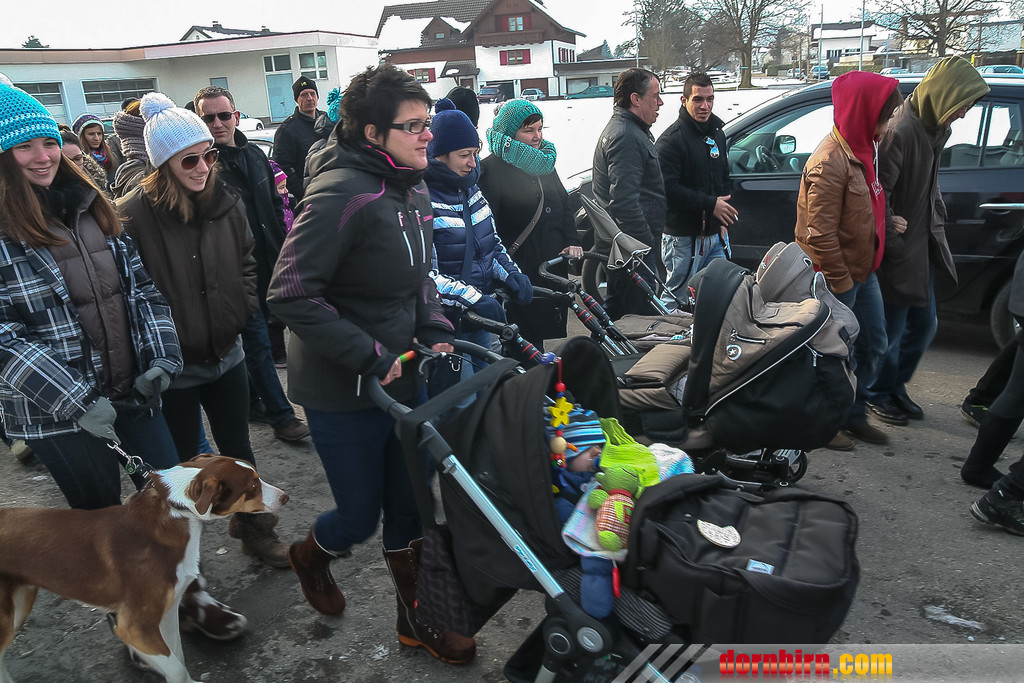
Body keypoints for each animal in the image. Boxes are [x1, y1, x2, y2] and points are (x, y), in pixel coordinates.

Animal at [0, 454, 288, 683]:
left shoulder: (167, 614)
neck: (175, 509)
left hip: (19, 604)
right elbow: (176, 668)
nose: (286, 496)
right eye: (253, 486)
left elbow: (179, 658)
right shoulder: (136, 627)